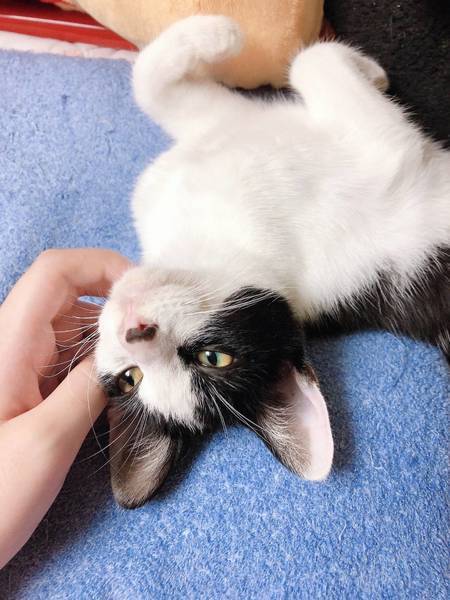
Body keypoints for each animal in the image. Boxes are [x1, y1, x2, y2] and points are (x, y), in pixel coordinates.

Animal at [96, 16, 450, 508]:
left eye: (212, 357)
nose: (136, 331)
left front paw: (373, 72)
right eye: (133, 377)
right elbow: (310, 62)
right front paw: (224, 33)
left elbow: (150, 82)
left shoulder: (231, 124)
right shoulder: (388, 154)